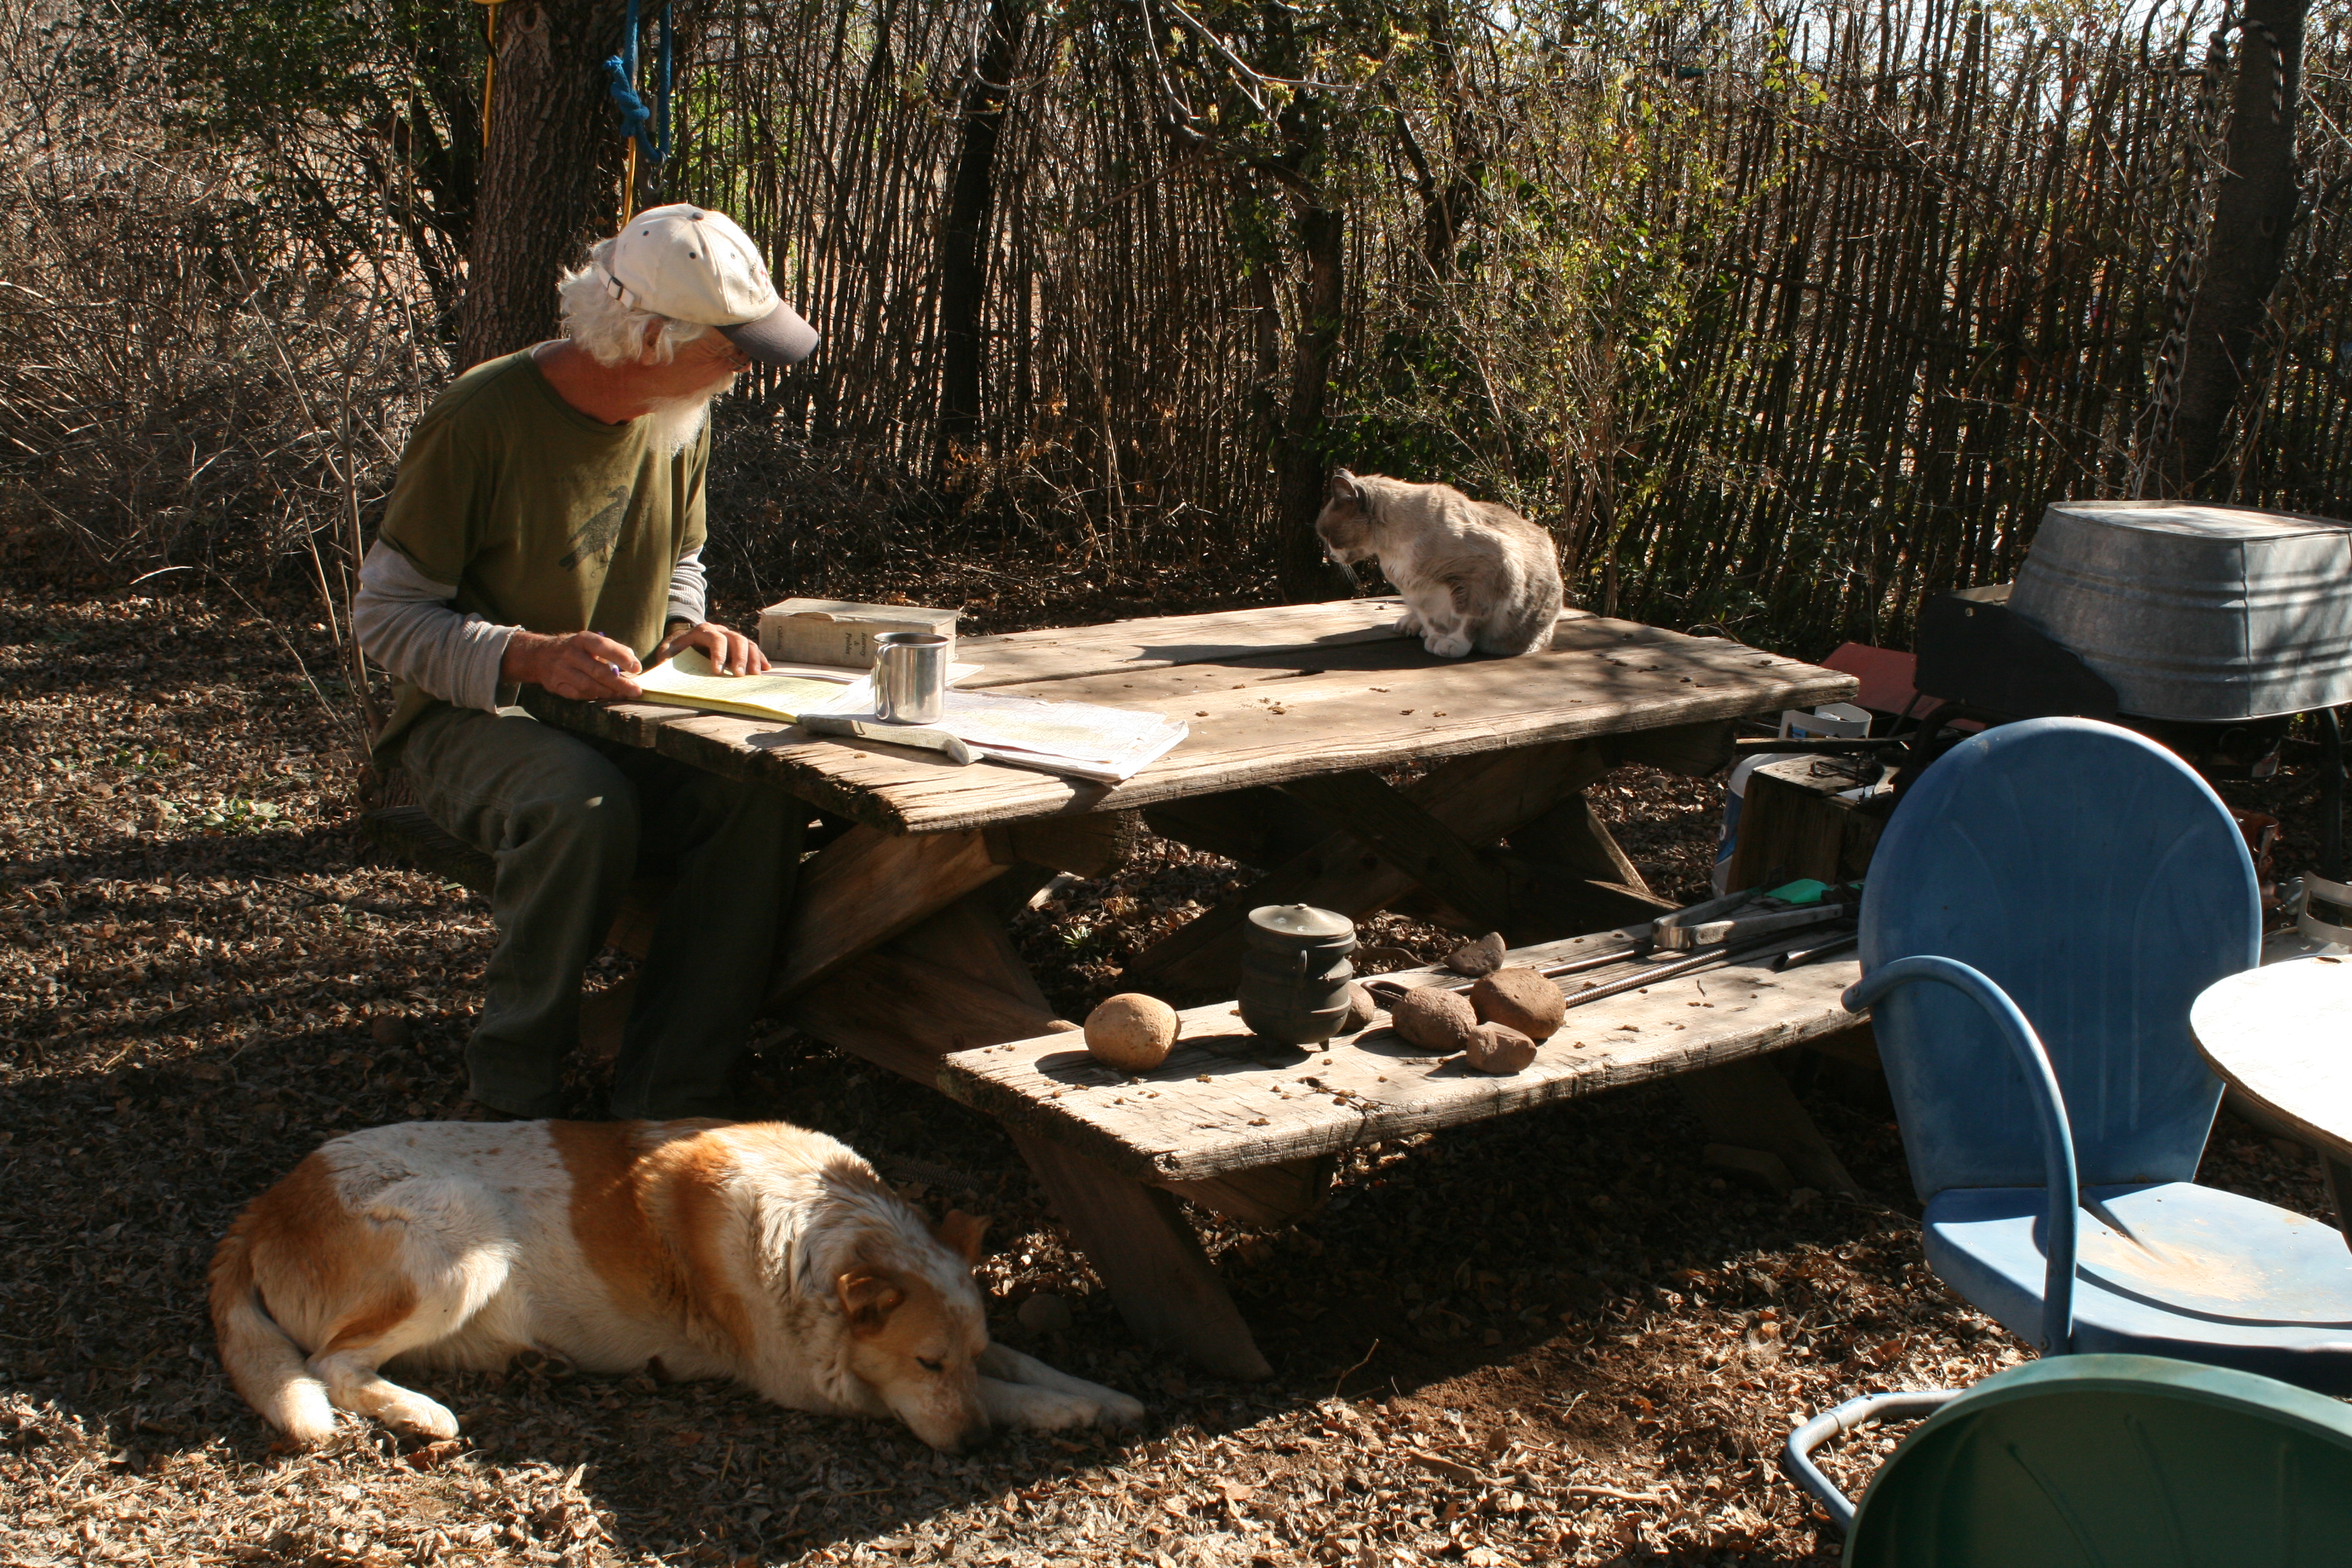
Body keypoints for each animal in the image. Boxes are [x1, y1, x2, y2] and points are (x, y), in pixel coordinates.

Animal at [211, 1123, 1148, 1457]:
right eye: (925, 1365)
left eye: (957, 1353)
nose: (976, 1447)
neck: (818, 1236)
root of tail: (267, 1204)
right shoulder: (816, 1386)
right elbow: (1004, 1391)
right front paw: (1062, 1412)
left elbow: (1020, 1364)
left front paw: (1101, 1393)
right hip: (464, 1234)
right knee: (330, 1368)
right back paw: (420, 1412)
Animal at [1307, 470, 1561, 658]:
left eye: (1328, 536)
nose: (1328, 556)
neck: (1391, 551)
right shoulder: (1415, 591)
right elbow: (1430, 620)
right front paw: (1434, 638)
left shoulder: (1480, 575)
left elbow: (1464, 619)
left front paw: (1451, 645)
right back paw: (1411, 626)